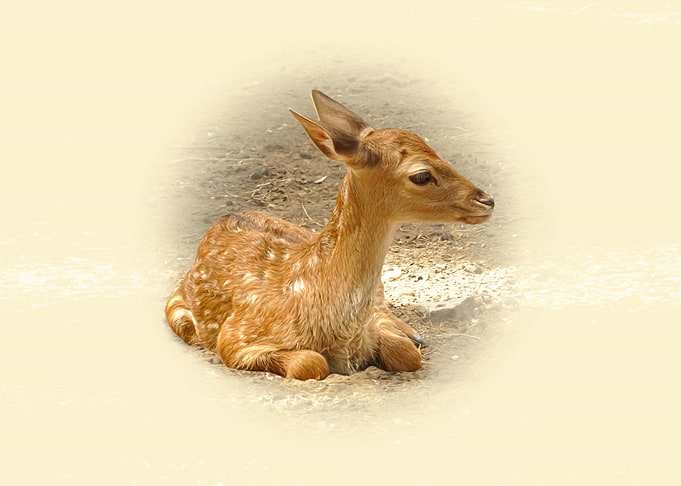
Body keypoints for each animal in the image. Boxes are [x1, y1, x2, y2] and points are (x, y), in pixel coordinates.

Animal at [165, 90, 495, 381]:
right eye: (422, 175)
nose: (487, 201)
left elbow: (406, 354)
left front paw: (410, 341)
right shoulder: (236, 338)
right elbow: (311, 363)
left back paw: (415, 333)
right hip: (177, 312)